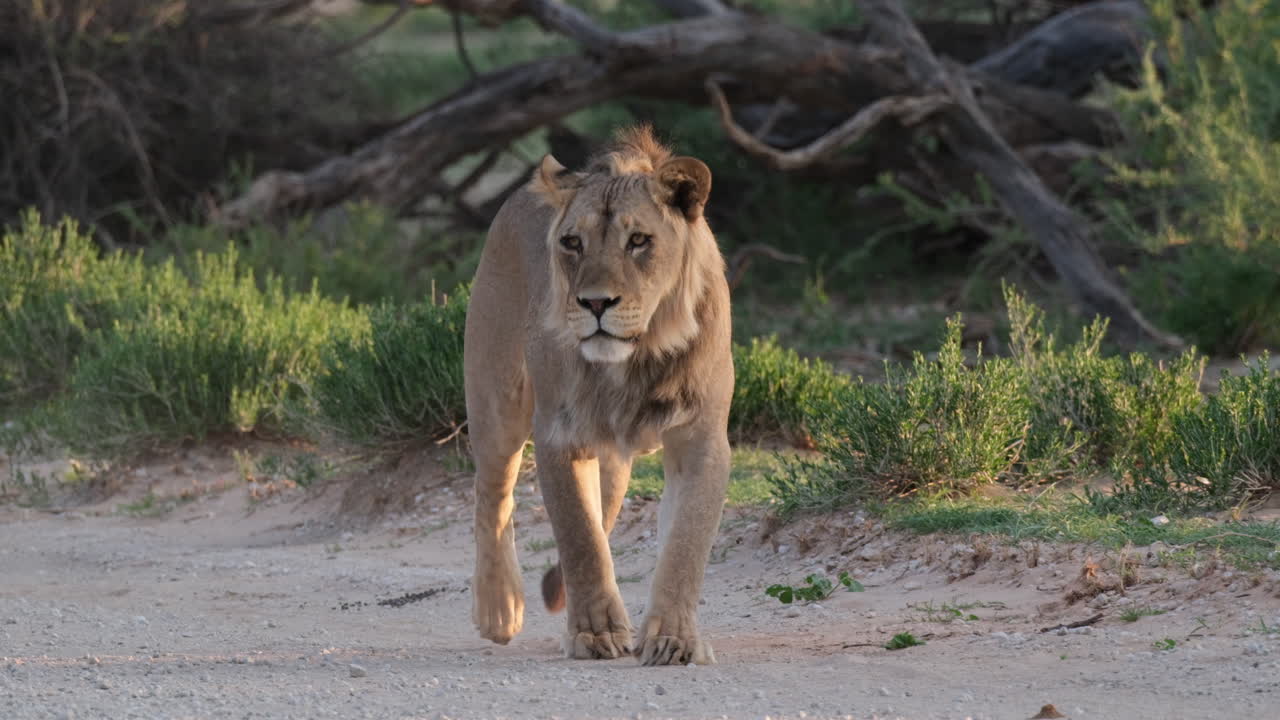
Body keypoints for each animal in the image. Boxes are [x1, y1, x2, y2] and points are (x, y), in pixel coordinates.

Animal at [462, 125, 732, 666]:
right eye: (572, 243)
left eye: (639, 241)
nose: (595, 303)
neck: (640, 354)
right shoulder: (560, 436)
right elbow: (580, 538)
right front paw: (596, 633)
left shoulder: (702, 438)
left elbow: (685, 542)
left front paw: (673, 639)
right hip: (497, 399)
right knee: (493, 494)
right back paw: (498, 610)